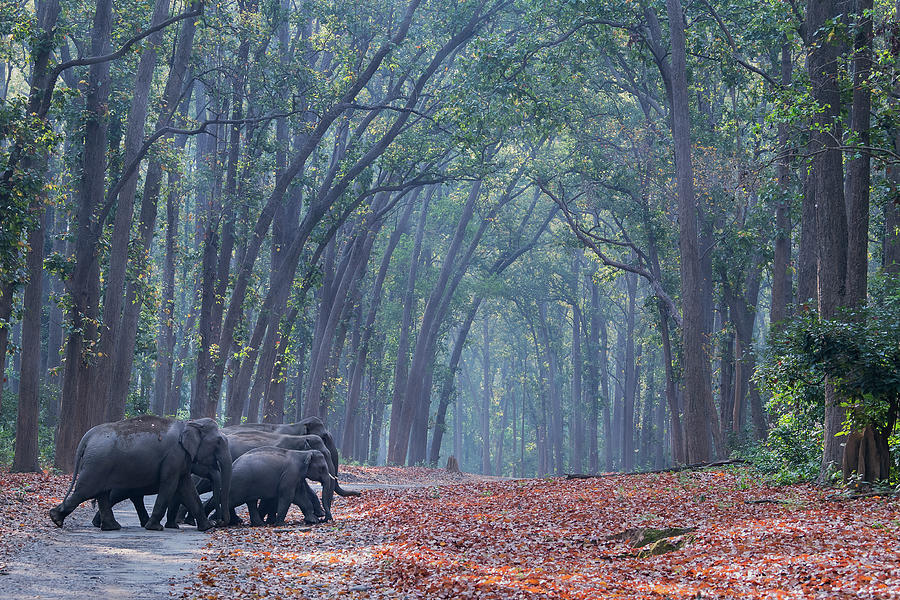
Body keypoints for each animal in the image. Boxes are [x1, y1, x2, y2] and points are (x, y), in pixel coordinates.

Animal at [48, 414, 232, 532]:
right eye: (218, 442)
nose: (219, 522)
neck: (190, 422)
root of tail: (88, 436)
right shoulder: (174, 456)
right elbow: (170, 485)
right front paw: (155, 528)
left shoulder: (182, 459)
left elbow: (187, 487)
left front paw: (207, 527)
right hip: (97, 463)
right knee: (86, 490)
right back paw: (55, 518)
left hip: (102, 464)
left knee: (102, 493)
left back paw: (111, 527)